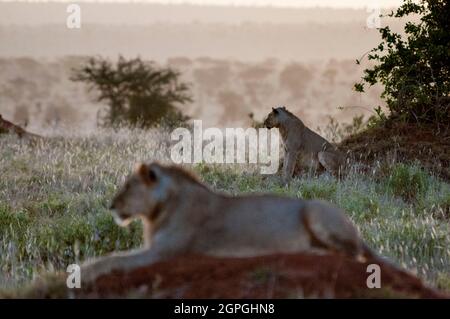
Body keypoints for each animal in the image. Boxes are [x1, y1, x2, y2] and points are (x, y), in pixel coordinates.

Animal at [80, 164, 376, 284]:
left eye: (129, 186)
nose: (111, 206)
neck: (157, 211)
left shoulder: (164, 253)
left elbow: (112, 259)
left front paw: (80, 273)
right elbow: (113, 258)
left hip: (314, 209)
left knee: (351, 253)